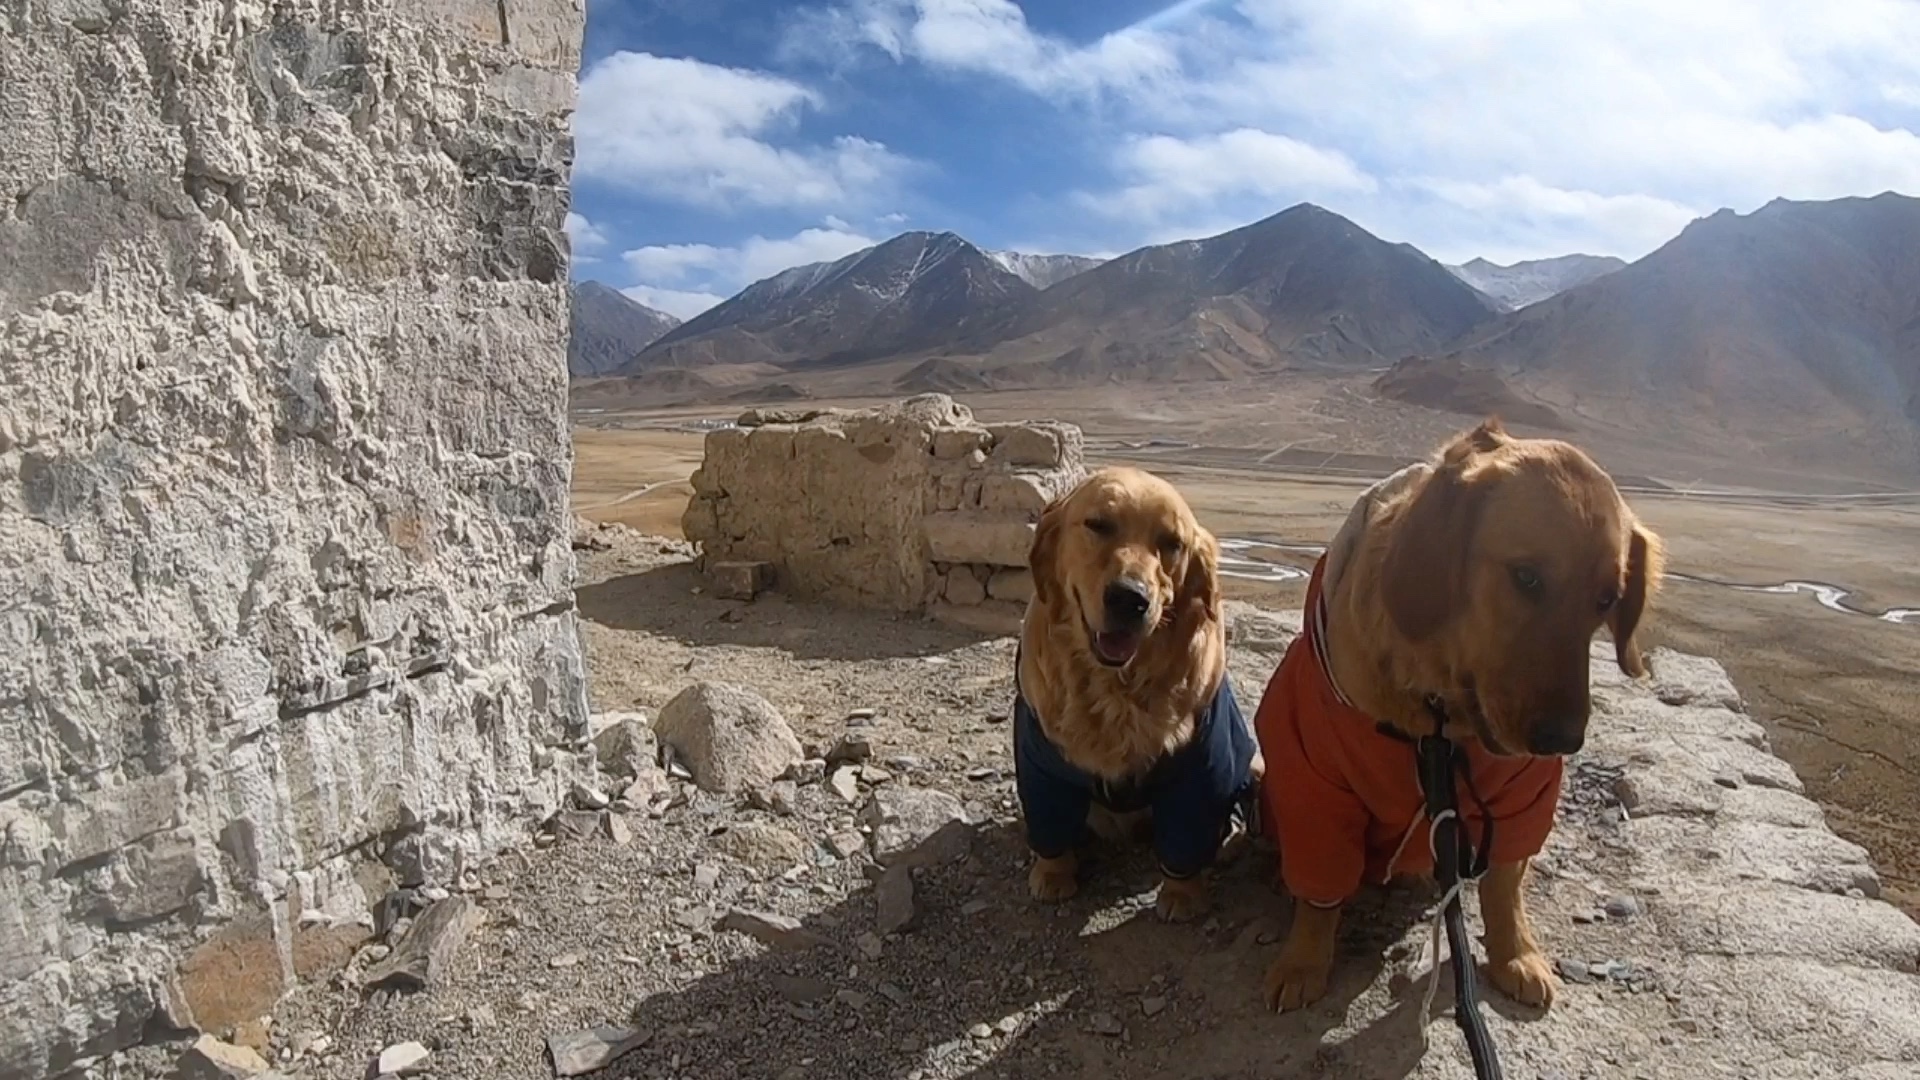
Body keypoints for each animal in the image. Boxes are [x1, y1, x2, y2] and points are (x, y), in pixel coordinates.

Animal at [1013, 463, 1267, 914]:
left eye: (1172, 543)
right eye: (1098, 524)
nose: (1129, 599)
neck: (1115, 686)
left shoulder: (1201, 764)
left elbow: (1188, 836)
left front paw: (1183, 895)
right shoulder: (1039, 759)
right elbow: (1049, 824)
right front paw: (1053, 873)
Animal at [1251, 418, 1658, 1006]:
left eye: (1608, 599)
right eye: (1527, 577)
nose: (1562, 740)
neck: (1436, 715)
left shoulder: (1522, 793)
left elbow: (1505, 885)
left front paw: (1516, 955)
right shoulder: (1314, 779)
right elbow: (1319, 891)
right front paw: (1303, 962)